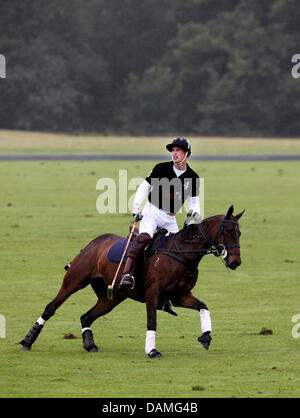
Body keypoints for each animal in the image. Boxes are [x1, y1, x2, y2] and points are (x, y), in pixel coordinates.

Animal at [19, 204, 244, 358]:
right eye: (228, 231)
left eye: (240, 232)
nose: (235, 262)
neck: (182, 254)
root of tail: (93, 243)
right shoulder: (153, 293)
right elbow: (152, 321)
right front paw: (152, 351)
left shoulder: (180, 296)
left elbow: (204, 307)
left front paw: (205, 337)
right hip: (73, 282)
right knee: (51, 307)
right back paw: (27, 340)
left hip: (111, 298)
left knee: (86, 317)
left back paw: (90, 345)